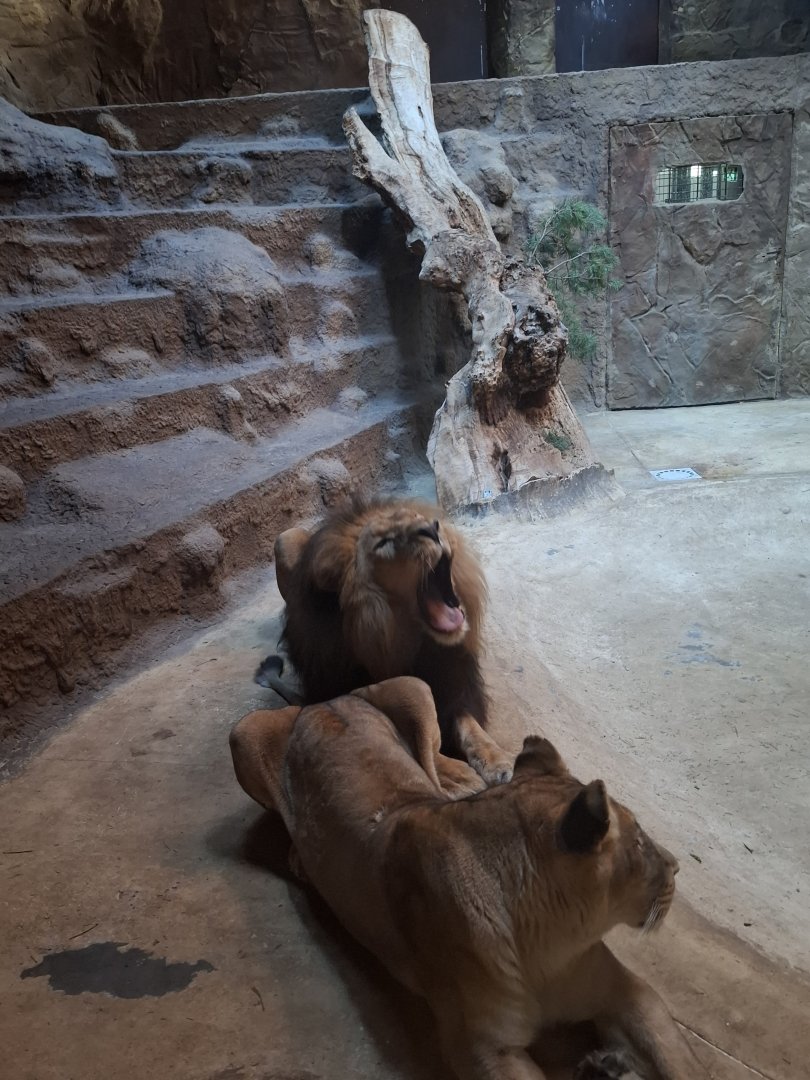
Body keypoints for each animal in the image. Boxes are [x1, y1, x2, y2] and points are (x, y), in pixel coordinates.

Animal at [231, 677, 707, 1080]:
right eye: (640, 842)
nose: (677, 867)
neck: (551, 940)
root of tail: (320, 701)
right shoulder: (482, 1050)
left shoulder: (625, 989)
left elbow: (680, 1062)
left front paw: (617, 1064)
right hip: (244, 733)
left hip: (415, 689)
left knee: (432, 762)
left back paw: (470, 780)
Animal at [258, 494, 513, 785]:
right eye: (383, 543)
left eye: (423, 519)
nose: (432, 529)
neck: (409, 643)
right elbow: (421, 742)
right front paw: (455, 773)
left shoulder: (452, 679)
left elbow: (467, 723)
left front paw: (495, 758)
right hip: (284, 538)